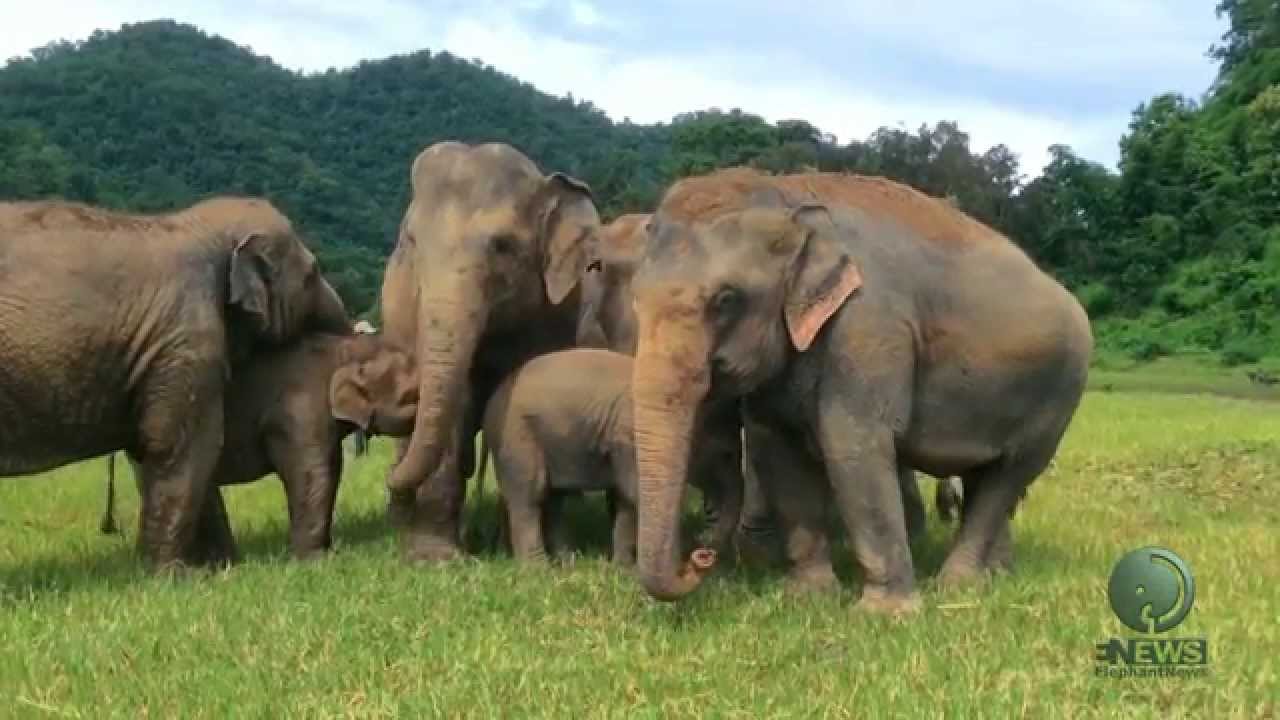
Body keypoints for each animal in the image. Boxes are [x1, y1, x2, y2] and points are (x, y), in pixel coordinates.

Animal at [0, 197, 351, 569]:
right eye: (313, 274)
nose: (335, 548)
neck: (194, 226)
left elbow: (156, 450)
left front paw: (219, 567)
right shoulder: (187, 342)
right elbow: (186, 443)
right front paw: (177, 574)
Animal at [97, 330, 419, 559]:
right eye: (410, 396)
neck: (347, 347)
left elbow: (330, 469)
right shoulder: (299, 410)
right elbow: (314, 472)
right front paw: (318, 560)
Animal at [378, 141, 602, 563]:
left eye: (502, 246)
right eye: (409, 244)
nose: (390, 484)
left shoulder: (557, 311)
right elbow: (456, 409)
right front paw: (437, 559)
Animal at [482, 347, 738, 572]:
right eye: (725, 454)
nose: (704, 549)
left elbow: (624, 497)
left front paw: (622, 569)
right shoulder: (630, 437)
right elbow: (633, 494)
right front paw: (631, 571)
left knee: (552, 498)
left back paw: (563, 561)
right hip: (517, 436)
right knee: (530, 497)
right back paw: (537, 569)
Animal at [624, 168, 1093, 612]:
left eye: (726, 299)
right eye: (635, 299)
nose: (698, 559)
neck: (788, 195)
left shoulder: (867, 329)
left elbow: (852, 446)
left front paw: (884, 614)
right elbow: (779, 450)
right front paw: (808, 597)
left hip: (1060, 394)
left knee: (1010, 472)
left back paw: (957, 586)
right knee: (985, 475)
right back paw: (995, 576)